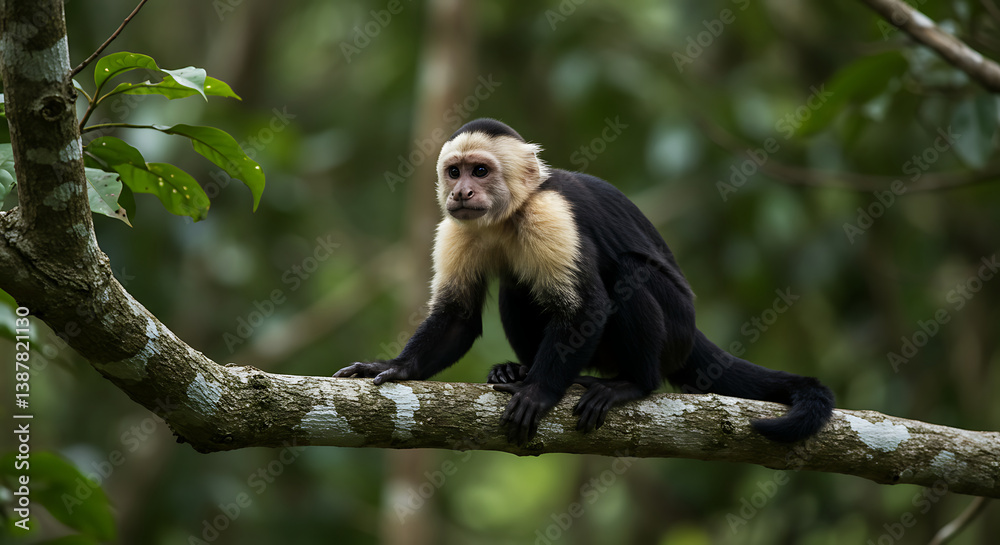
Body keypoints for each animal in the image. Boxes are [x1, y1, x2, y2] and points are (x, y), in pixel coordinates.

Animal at [334, 118, 834, 446]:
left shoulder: (550, 214)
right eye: (454, 172)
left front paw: (538, 392)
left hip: (675, 327)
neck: (509, 214)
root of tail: (692, 333)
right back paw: (521, 368)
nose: (461, 192)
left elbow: (586, 307)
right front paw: (394, 367)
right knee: (518, 287)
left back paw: (633, 384)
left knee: (628, 275)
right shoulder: (456, 227)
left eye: (480, 170)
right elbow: (458, 316)